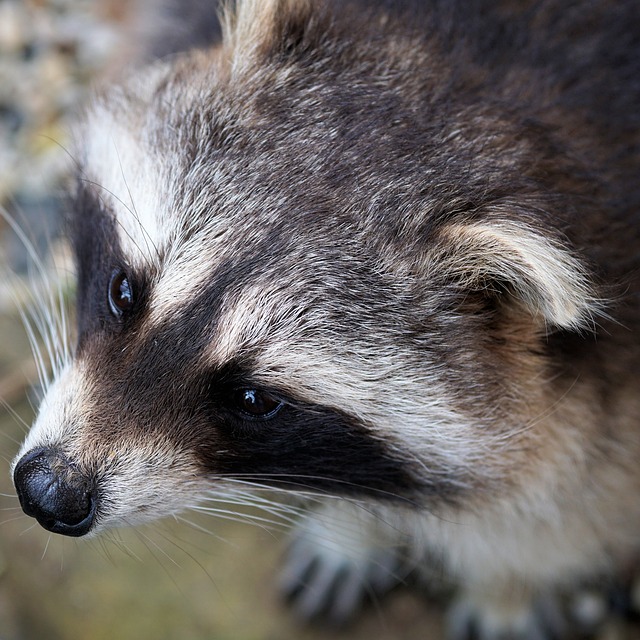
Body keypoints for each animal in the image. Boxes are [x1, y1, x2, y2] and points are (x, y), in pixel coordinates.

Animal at [10, 0, 640, 636]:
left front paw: (507, 583)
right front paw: (353, 528)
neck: (473, 82)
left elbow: (576, 494)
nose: (48, 493)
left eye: (254, 399)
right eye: (124, 291)